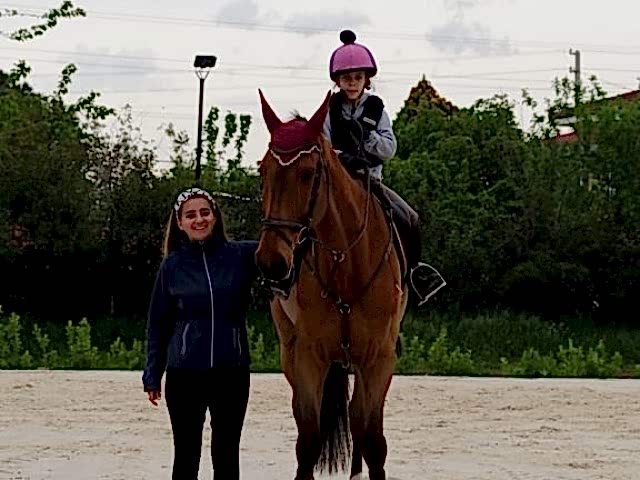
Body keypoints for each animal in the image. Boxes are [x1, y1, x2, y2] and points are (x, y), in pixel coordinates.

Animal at [255, 90, 408, 480]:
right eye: (263, 171)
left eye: (309, 173)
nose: (271, 263)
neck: (345, 262)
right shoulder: (309, 357)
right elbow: (309, 439)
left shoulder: (378, 359)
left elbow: (372, 440)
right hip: (291, 351)